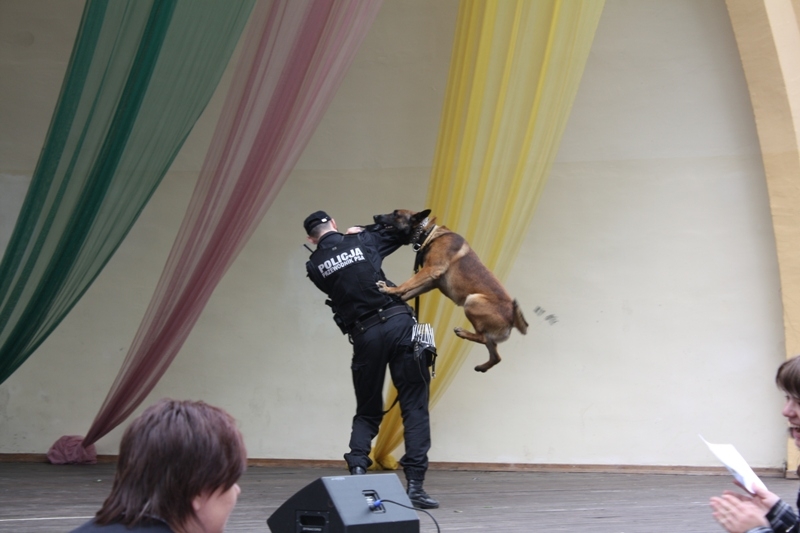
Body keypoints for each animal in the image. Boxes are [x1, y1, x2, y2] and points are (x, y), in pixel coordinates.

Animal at [373, 209, 528, 372]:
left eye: (396, 214)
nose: (375, 216)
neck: (428, 233)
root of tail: (513, 316)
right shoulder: (431, 282)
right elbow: (410, 291)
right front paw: (398, 299)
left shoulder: (431, 270)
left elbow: (407, 284)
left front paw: (390, 290)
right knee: (496, 356)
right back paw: (482, 367)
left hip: (472, 301)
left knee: (483, 338)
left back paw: (462, 332)